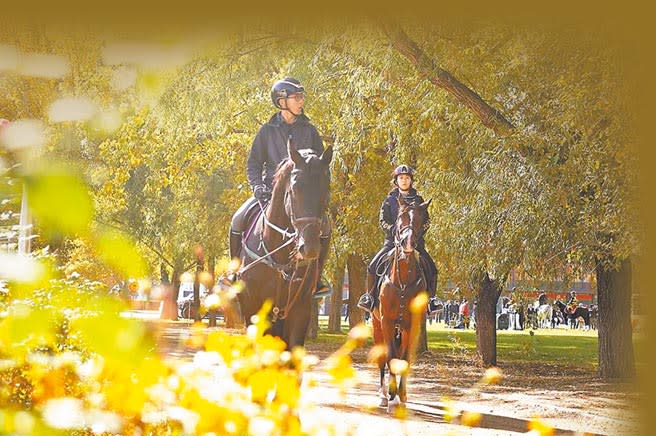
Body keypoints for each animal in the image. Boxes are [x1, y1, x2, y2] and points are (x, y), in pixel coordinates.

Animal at [372, 196, 434, 410]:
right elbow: (390, 356)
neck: (404, 281)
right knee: (382, 359)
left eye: (421, 220)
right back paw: (383, 395)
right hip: (377, 326)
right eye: (401, 217)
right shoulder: (387, 322)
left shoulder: (412, 325)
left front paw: (402, 395)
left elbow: (405, 358)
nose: (408, 242)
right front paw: (391, 394)